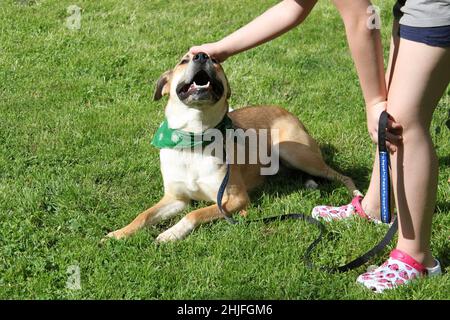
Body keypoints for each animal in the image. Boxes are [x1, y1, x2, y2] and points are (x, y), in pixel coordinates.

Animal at [103, 52, 356, 242]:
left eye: (215, 60)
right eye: (183, 60)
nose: (202, 55)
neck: (194, 139)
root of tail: (287, 112)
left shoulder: (234, 198)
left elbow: (193, 214)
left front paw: (170, 234)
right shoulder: (176, 198)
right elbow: (144, 216)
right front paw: (118, 234)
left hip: (293, 151)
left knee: (343, 176)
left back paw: (356, 200)